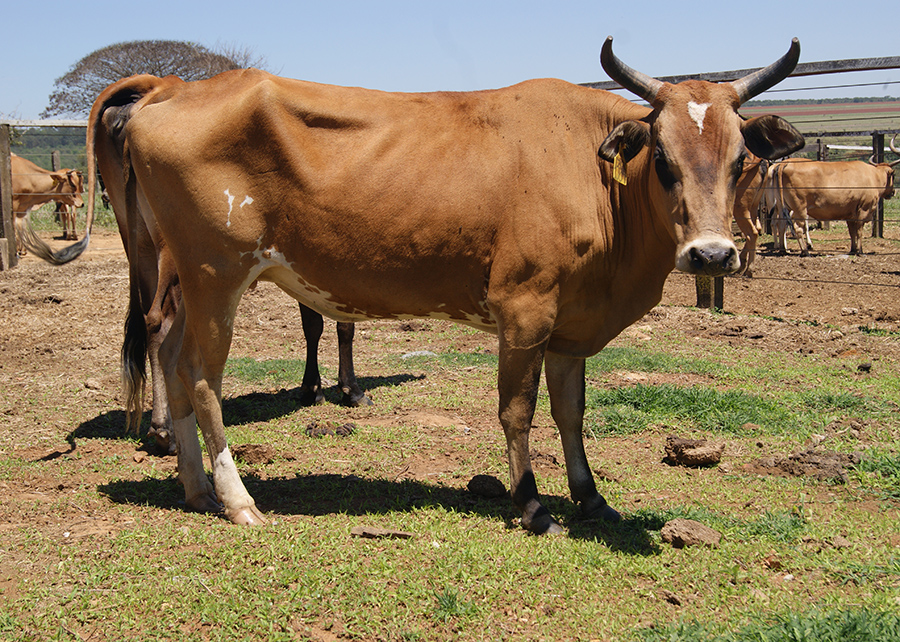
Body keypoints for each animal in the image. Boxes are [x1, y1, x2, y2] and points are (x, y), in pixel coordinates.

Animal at [70, 37, 804, 532]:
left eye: (740, 161)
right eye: (664, 161)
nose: (712, 255)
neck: (589, 170)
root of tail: (173, 88)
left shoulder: (571, 323)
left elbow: (570, 412)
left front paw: (590, 495)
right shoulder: (524, 308)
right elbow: (517, 410)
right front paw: (532, 503)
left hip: (188, 281)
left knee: (168, 352)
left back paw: (194, 487)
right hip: (214, 275)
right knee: (199, 377)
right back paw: (237, 499)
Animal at [768, 138, 896, 255]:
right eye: (893, 176)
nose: (893, 192)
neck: (873, 176)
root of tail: (784, 163)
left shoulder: (850, 213)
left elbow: (852, 232)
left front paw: (853, 249)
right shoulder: (863, 209)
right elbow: (859, 231)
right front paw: (860, 251)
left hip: (783, 206)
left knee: (781, 224)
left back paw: (783, 250)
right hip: (799, 208)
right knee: (798, 227)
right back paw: (805, 251)